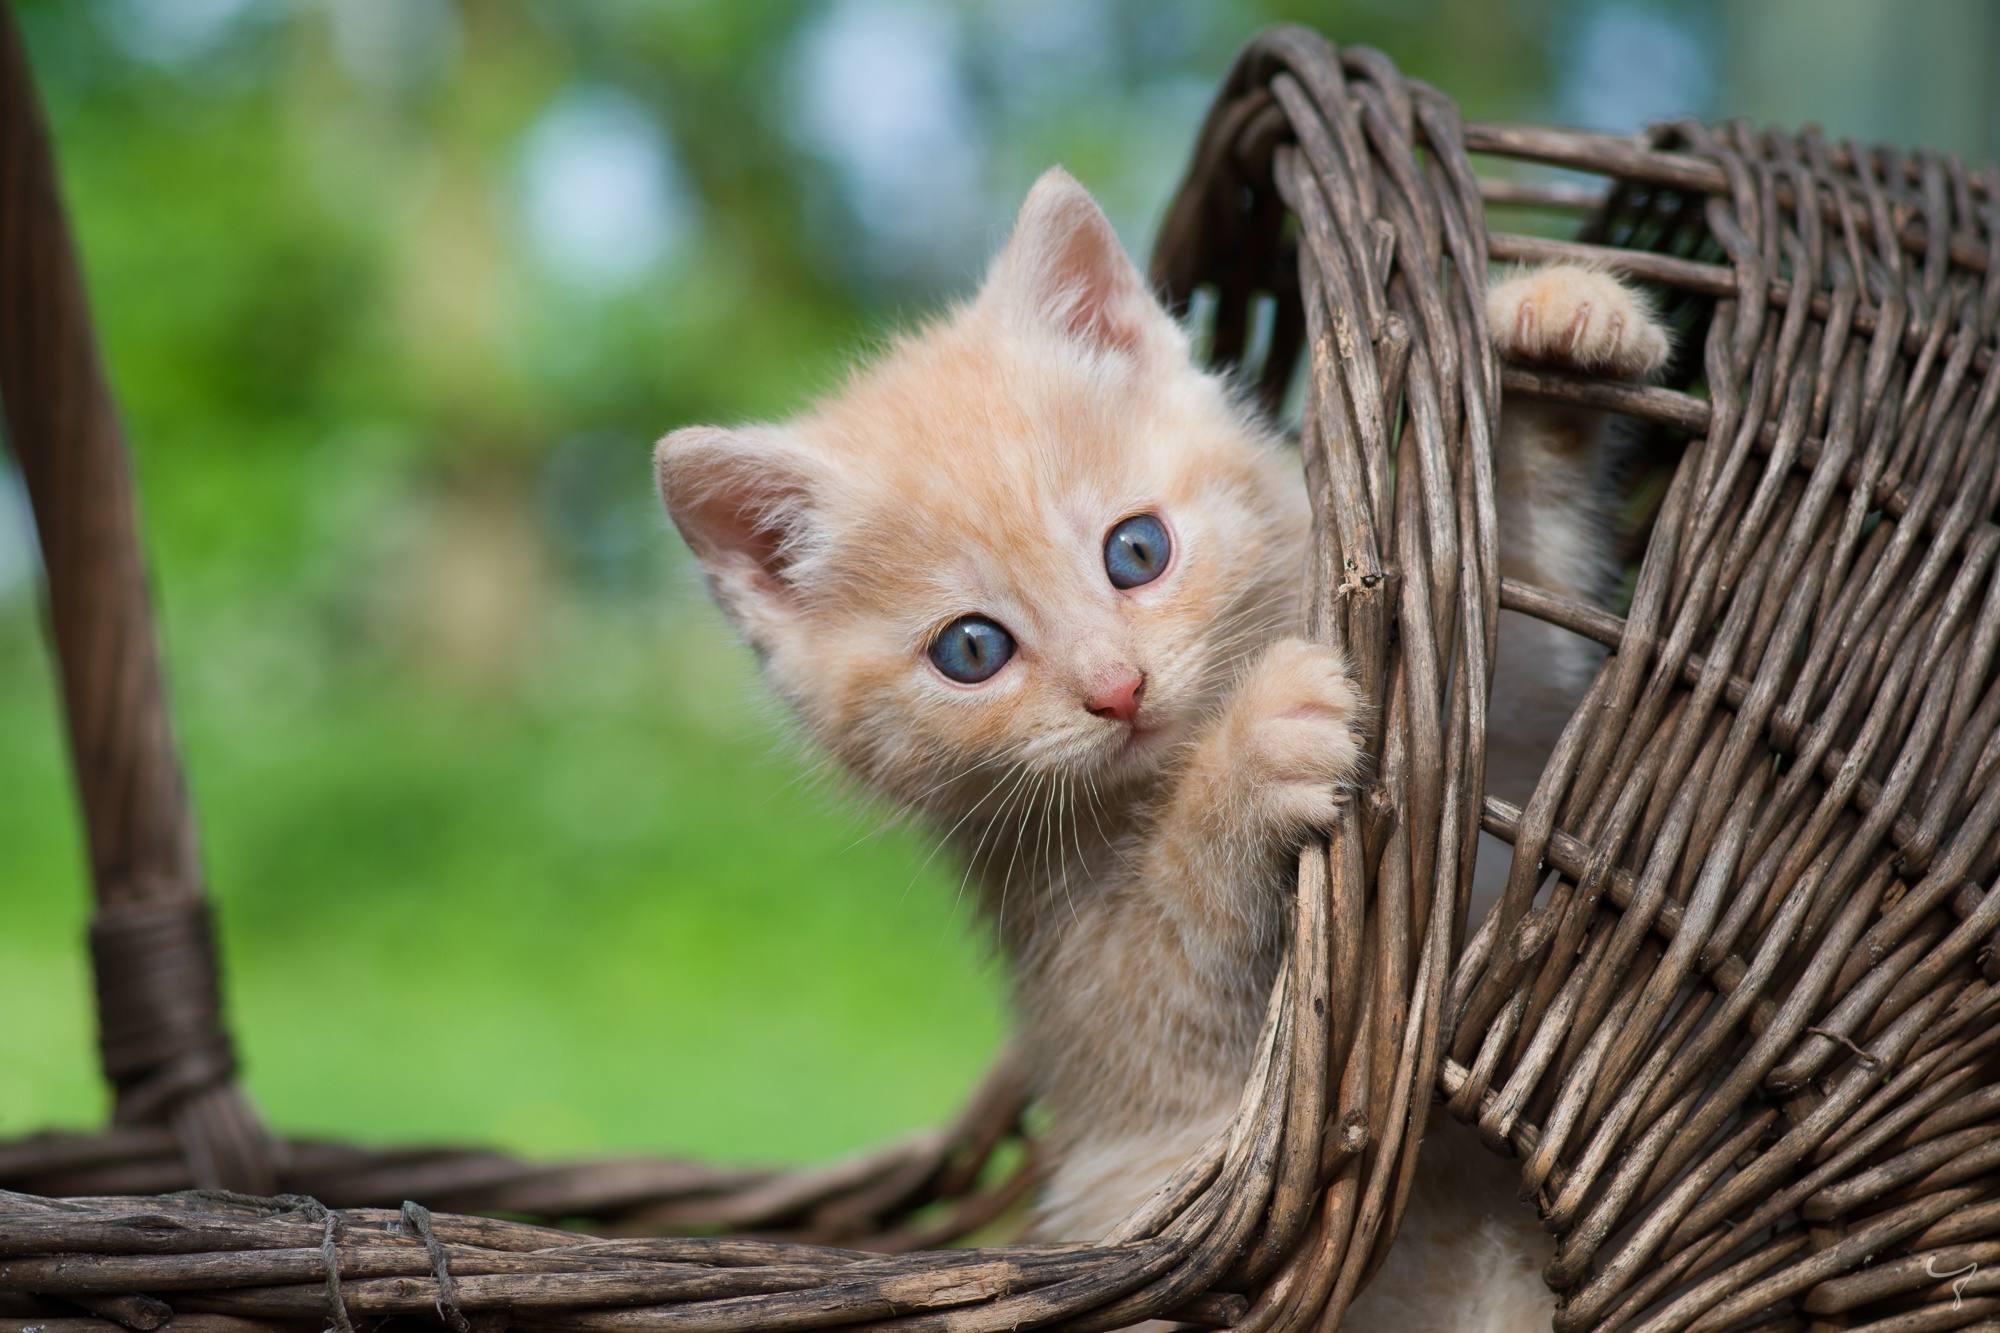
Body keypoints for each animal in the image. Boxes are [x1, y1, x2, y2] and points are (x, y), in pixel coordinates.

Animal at [660, 169, 1672, 1328]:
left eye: (1135, 550)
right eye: (971, 649)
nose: (1117, 688)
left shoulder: (1509, 732)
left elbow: (1517, 595)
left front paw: (1559, 329)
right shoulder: (1122, 1033)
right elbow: (1187, 942)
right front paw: (1253, 755)